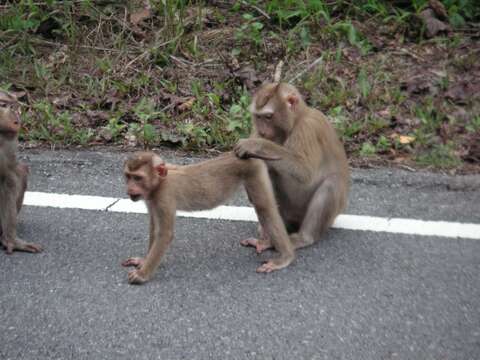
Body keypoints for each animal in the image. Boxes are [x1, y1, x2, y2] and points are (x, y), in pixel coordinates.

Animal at [122, 151, 294, 284]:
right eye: (128, 176)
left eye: (138, 178)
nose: (129, 189)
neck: (159, 183)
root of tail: (241, 154)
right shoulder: (152, 200)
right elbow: (154, 228)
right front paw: (144, 261)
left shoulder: (164, 197)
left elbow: (164, 235)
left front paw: (142, 275)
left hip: (254, 171)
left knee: (265, 208)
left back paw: (285, 257)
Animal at [235, 82, 350, 255]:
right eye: (258, 117)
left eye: (268, 117)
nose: (262, 131)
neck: (295, 121)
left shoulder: (308, 129)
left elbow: (304, 172)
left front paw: (256, 145)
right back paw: (268, 234)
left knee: (332, 183)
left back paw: (303, 238)